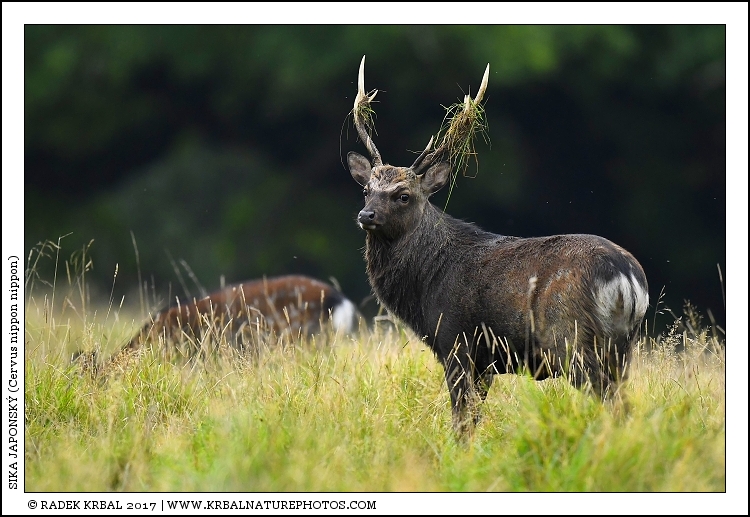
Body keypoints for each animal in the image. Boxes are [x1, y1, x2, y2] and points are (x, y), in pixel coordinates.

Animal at [347, 56, 649, 437]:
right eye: (366, 190)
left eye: (403, 195)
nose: (366, 215)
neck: (425, 285)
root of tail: (626, 277)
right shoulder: (486, 361)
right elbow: (474, 418)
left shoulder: (457, 342)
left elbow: (462, 420)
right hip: (623, 347)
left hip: (569, 339)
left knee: (610, 402)